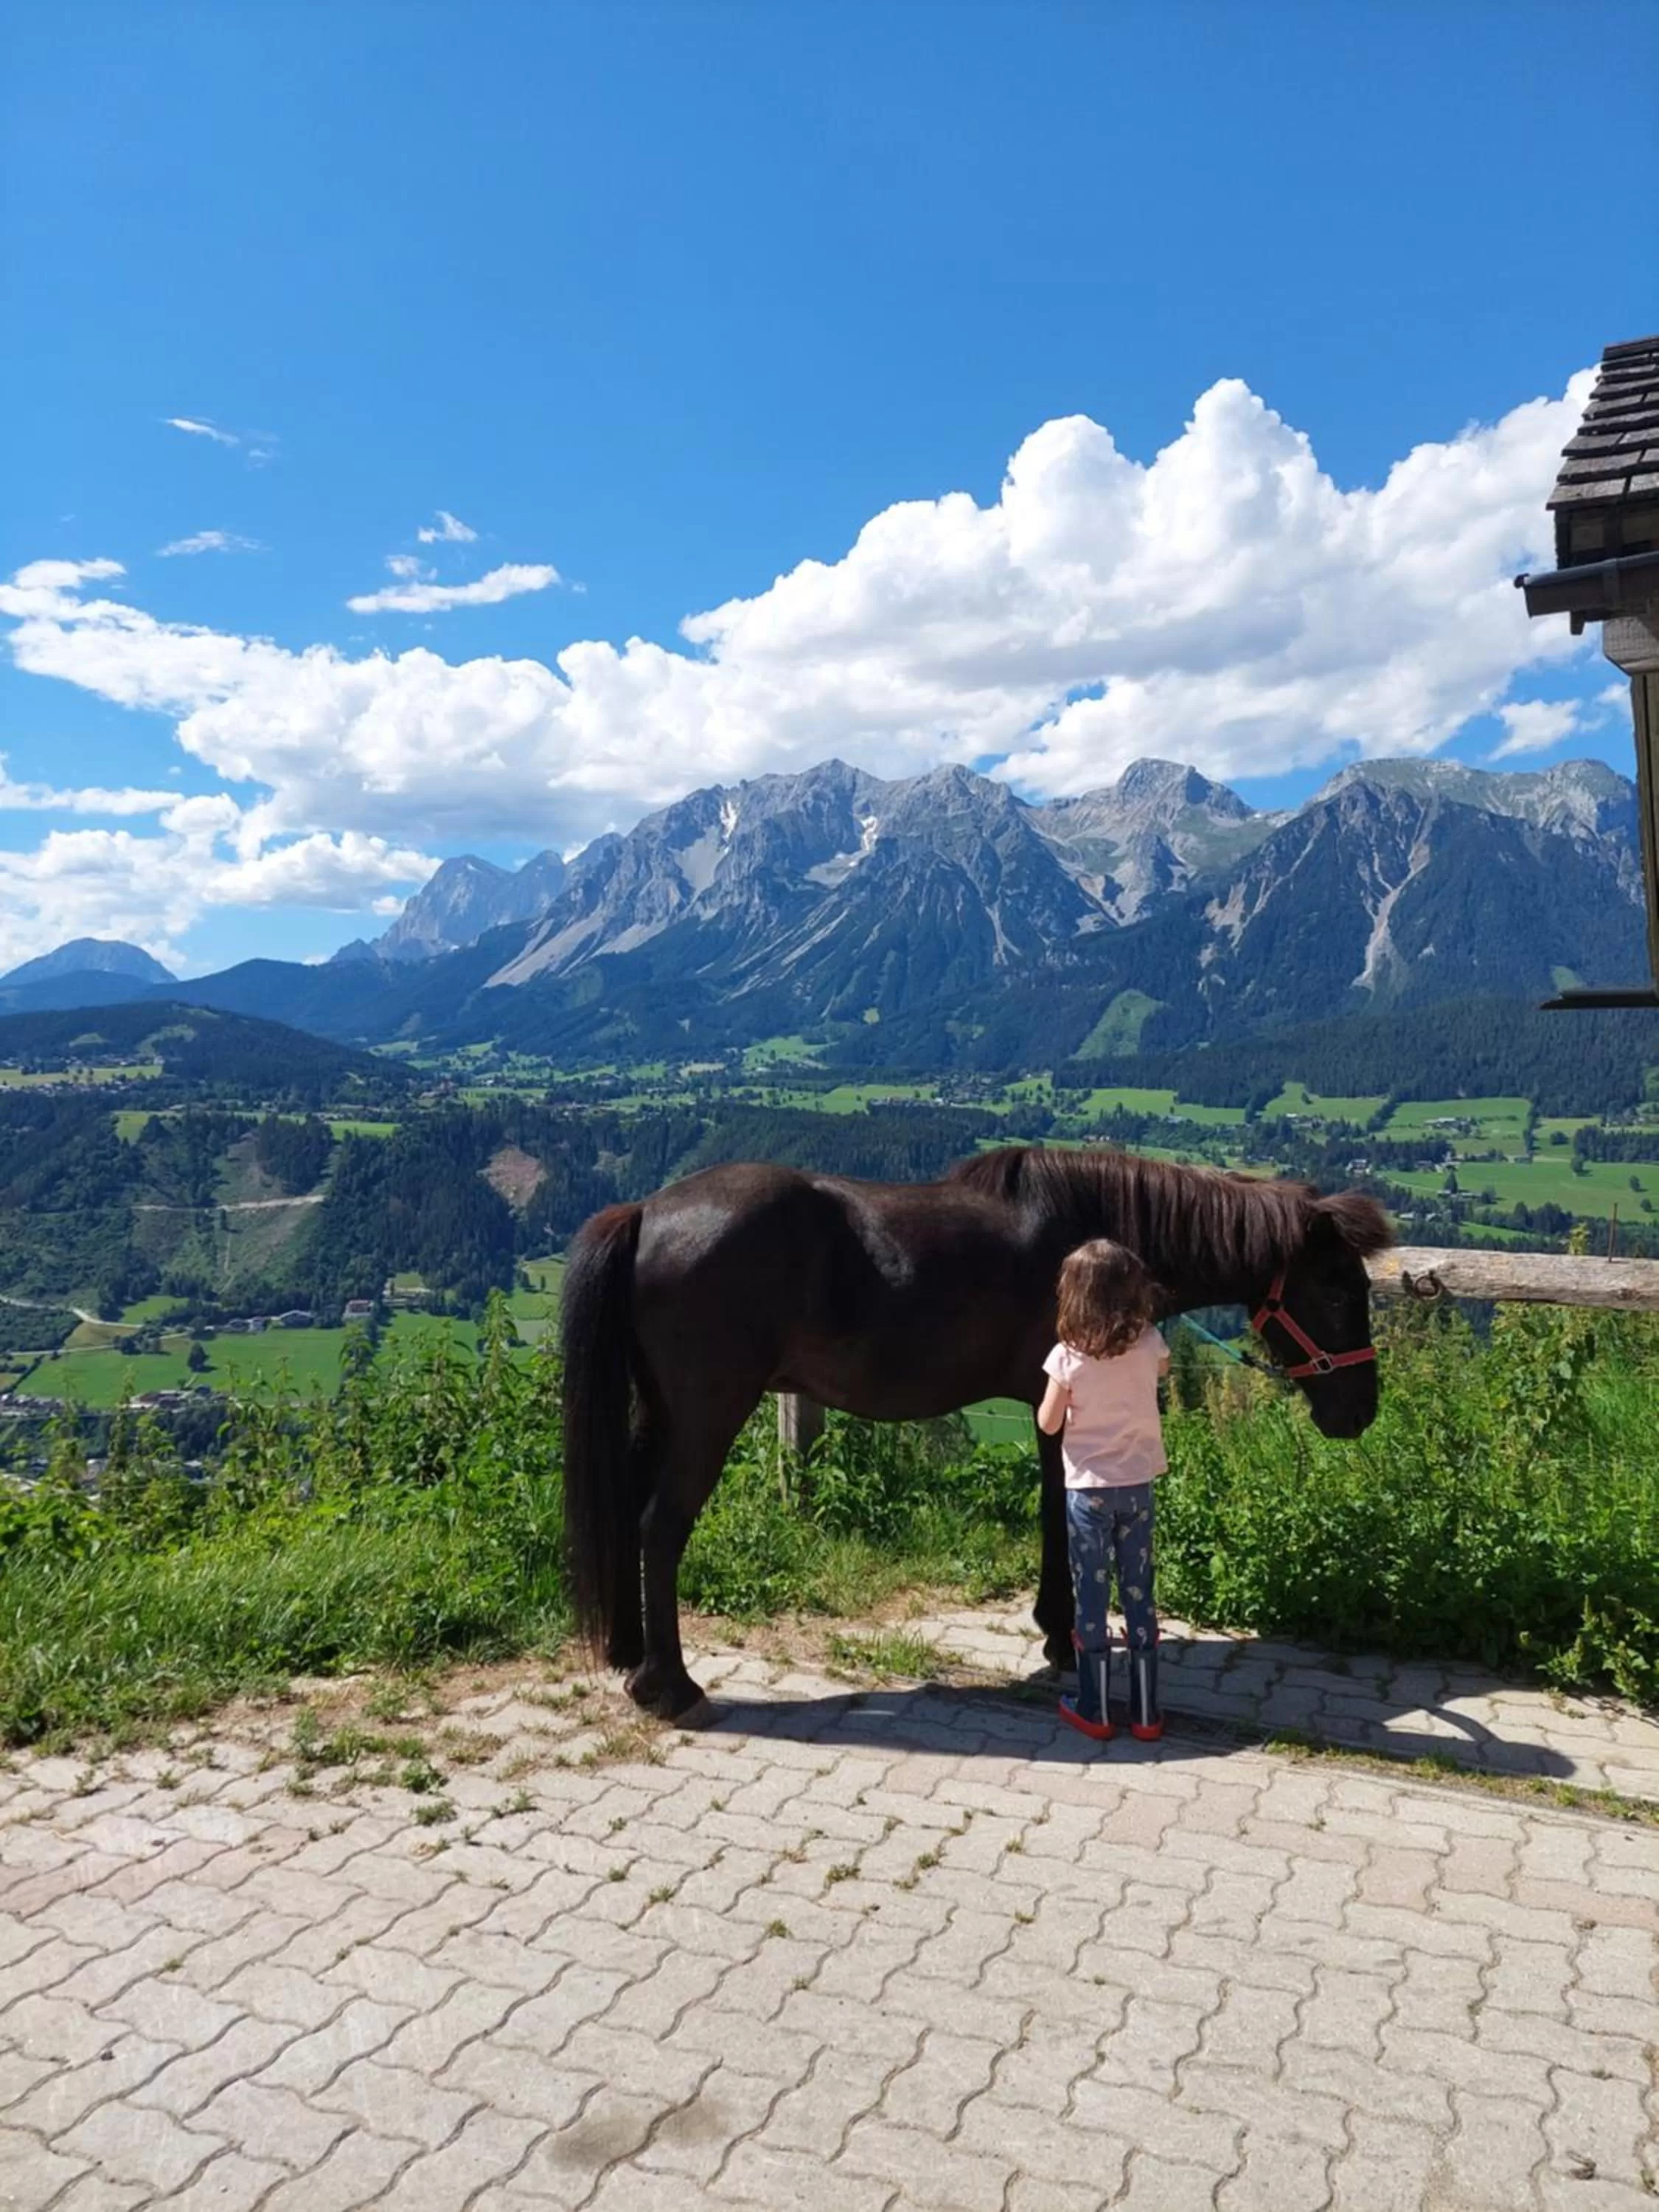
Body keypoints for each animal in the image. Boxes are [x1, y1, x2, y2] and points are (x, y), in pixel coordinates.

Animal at [560, 1143, 1392, 1721]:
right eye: (1334, 1286)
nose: (1360, 1411)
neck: (1090, 1243)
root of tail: (647, 1212)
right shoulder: (1056, 1405)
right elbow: (1059, 1515)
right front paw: (1061, 1634)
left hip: (658, 1412)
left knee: (629, 1516)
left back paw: (630, 1654)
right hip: (709, 1414)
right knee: (661, 1525)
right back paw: (671, 1686)